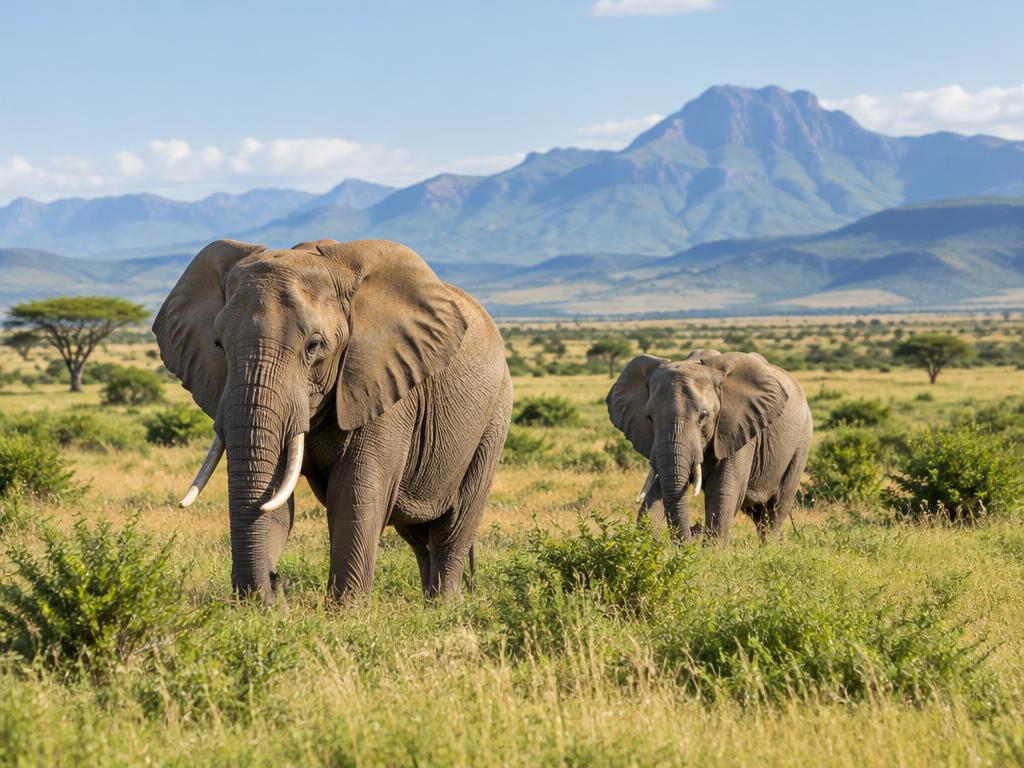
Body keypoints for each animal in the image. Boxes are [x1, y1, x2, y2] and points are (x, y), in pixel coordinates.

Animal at [154, 238, 512, 606]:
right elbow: (276, 496)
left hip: (495, 416)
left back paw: (444, 609)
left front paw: (347, 614)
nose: (276, 581)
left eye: (313, 346)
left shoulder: (382, 382)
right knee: (417, 535)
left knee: (452, 529)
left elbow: (355, 492)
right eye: (218, 344)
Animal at [607, 349, 812, 542]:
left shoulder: (737, 426)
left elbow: (723, 491)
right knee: (758, 514)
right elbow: (659, 487)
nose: (693, 530)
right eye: (649, 418)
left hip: (801, 442)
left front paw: (712, 554)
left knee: (774, 512)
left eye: (703, 416)